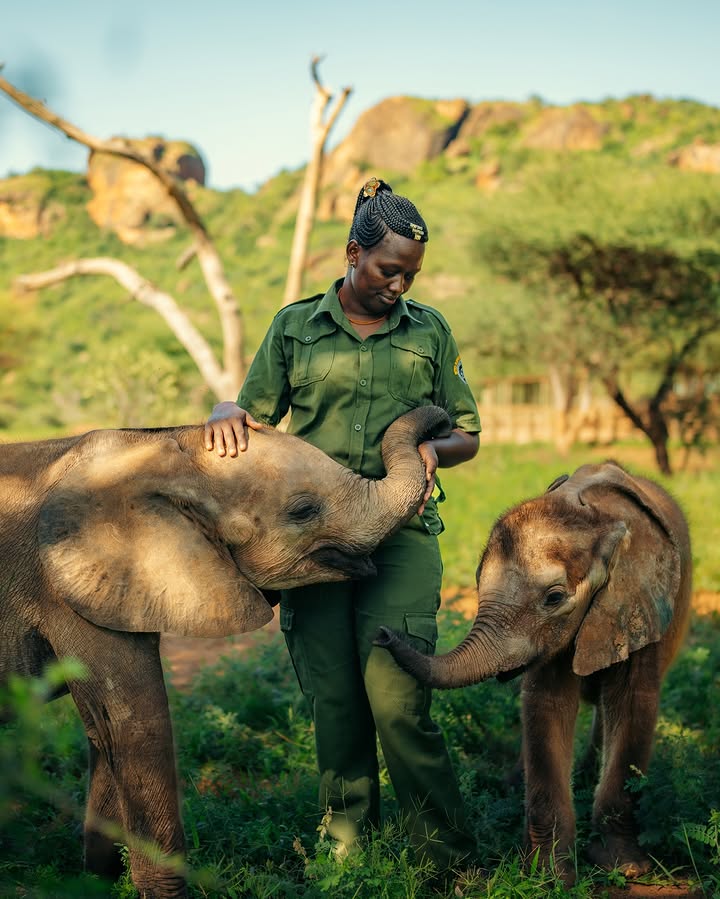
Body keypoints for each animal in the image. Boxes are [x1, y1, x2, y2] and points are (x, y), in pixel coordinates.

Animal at [0, 404, 451, 899]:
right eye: (303, 511)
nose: (439, 421)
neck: (160, 446)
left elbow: (104, 734)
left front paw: (96, 882)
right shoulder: (68, 590)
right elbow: (134, 727)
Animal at [377, 460, 692, 884]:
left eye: (554, 598)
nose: (382, 633)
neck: (596, 517)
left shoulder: (643, 603)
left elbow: (631, 705)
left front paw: (623, 867)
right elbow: (547, 705)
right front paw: (549, 877)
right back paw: (516, 786)